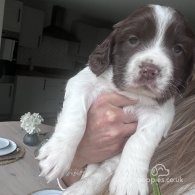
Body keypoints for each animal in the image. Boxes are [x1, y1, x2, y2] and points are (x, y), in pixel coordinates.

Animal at [37, 4, 194, 195]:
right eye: (133, 40)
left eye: (178, 49)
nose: (150, 70)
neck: (132, 93)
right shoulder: (83, 83)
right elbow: (76, 118)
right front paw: (57, 155)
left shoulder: (160, 114)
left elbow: (140, 140)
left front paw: (129, 181)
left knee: (102, 172)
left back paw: (81, 188)